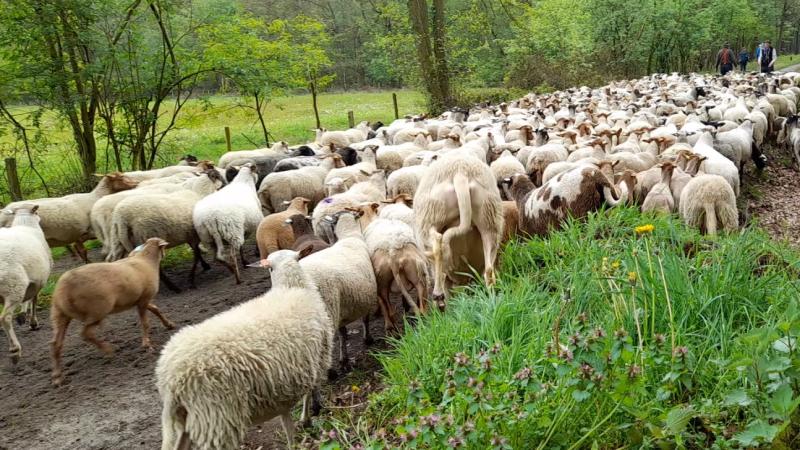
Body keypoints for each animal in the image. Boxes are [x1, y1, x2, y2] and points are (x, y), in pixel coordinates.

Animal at [0, 172, 139, 264]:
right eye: (121, 177)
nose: (136, 183)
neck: (96, 196)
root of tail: (3, 212)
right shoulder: (88, 230)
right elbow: (82, 248)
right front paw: (89, 262)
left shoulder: (80, 233)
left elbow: (80, 247)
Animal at [52, 237, 175, 384]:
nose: (166, 254)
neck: (146, 260)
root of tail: (65, 288)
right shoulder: (144, 299)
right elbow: (145, 322)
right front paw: (146, 344)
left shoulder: (140, 300)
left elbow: (156, 309)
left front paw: (169, 324)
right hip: (97, 310)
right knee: (85, 334)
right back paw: (108, 350)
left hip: (60, 314)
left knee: (56, 344)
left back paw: (58, 376)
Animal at [155, 248, 332, 448]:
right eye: (269, 268)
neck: (291, 286)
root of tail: (170, 379)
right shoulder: (318, 357)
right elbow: (308, 394)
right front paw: (307, 418)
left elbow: (287, 419)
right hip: (216, 417)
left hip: (188, 419)